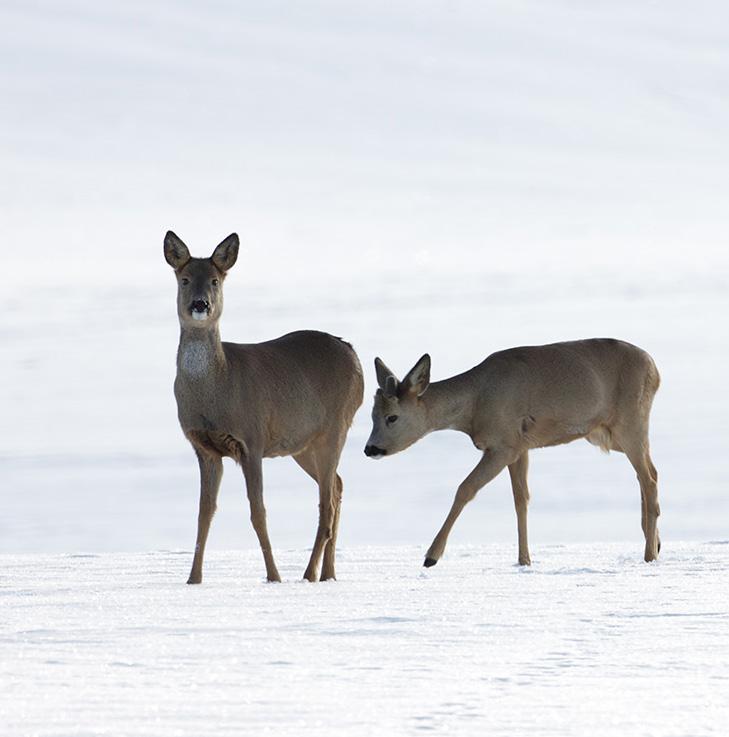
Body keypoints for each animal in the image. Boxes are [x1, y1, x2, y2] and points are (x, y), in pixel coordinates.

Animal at [162, 230, 362, 580]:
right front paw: (193, 579)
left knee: (326, 504)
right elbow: (204, 513)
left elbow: (258, 512)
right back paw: (327, 573)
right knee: (337, 485)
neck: (216, 390)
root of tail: (354, 354)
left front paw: (273, 576)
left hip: (336, 426)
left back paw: (308, 574)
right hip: (303, 444)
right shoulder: (204, 448)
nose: (200, 304)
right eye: (184, 279)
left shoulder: (251, 439)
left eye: (214, 280)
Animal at [364, 336, 660, 568]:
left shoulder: (503, 444)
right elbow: (521, 500)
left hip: (629, 421)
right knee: (650, 472)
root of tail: (655, 369)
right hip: (609, 433)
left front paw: (431, 556)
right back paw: (655, 544)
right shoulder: (521, 446)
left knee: (648, 479)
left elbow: (465, 488)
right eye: (371, 415)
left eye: (392, 417)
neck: (475, 405)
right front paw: (524, 560)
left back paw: (648, 555)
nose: (370, 448)